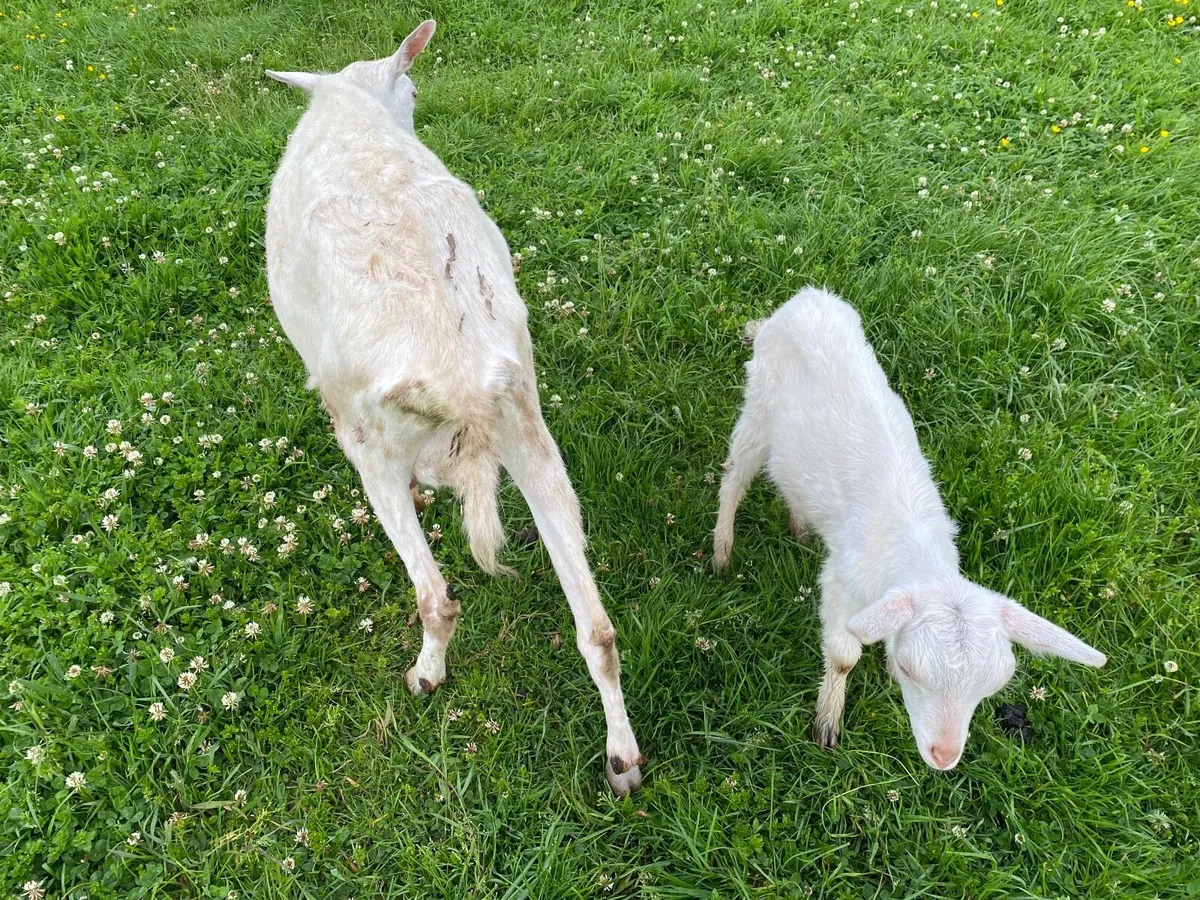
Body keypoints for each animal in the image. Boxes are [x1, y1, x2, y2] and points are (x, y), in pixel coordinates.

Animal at [264, 21, 643, 794]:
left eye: (411, 89)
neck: (352, 105)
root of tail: (460, 372)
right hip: (525, 418)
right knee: (598, 628)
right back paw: (623, 757)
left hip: (368, 437)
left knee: (435, 596)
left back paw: (426, 675)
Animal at [713, 286, 1105, 770]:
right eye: (910, 670)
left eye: (991, 687)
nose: (944, 755)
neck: (916, 550)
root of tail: (807, 297)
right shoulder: (842, 584)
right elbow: (842, 657)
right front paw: (828, 723)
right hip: (759, 404)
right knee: (734, 475)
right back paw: (722, 552)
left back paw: (800, 527)